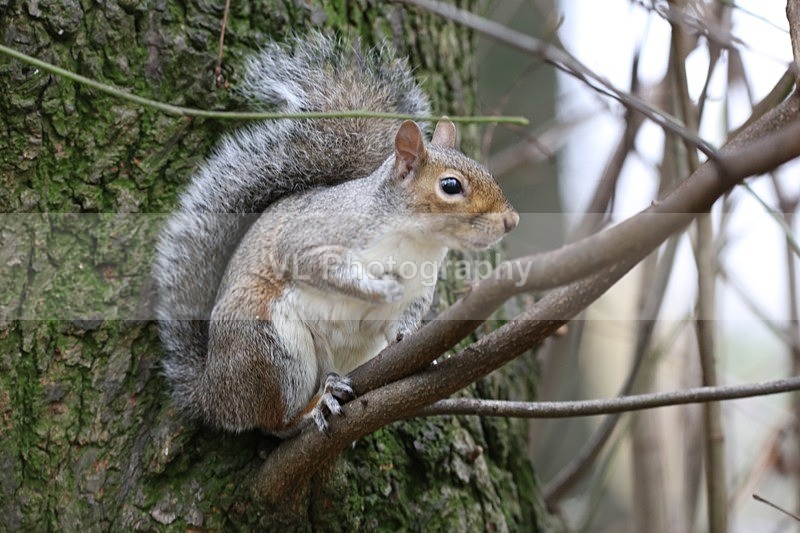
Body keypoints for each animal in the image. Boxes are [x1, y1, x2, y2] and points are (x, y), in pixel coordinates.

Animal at [153, 33, 519, 437]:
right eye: (451, 186)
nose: (511, 220)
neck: (415, 240)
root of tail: (213, 396)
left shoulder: (420, 289)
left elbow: (404, 319)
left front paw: (409, 339)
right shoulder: (313, 239)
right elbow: (323, 268)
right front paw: (379, 287)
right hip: (271, 347)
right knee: (276, 424)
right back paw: (314, 406)